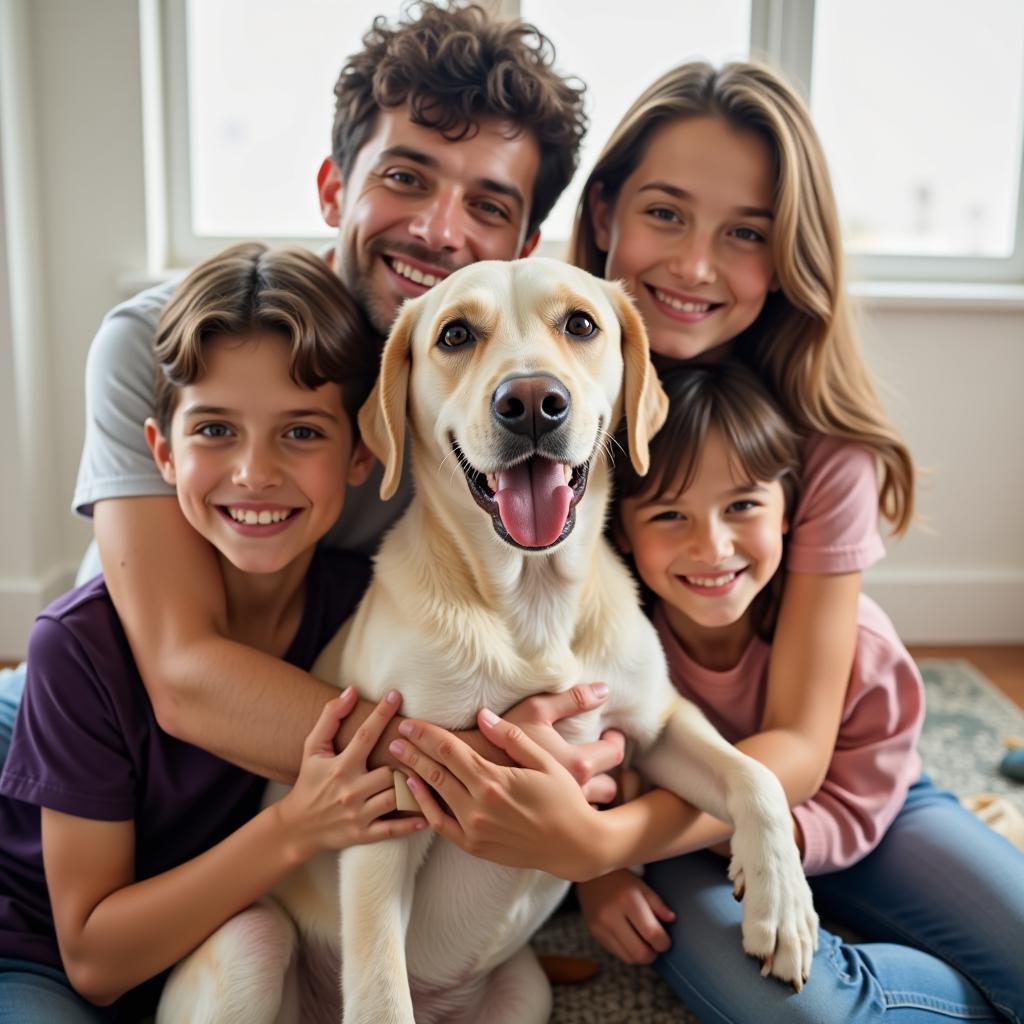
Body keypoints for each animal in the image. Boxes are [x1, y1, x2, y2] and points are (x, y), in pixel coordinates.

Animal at [157, 258, 815, 1024]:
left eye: (581, 324)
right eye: (455, 335)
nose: (531, 402)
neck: (532, 605)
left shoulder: (655, 722)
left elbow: (756, 775)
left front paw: (784, 906)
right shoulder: (385, 806)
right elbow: (380, 991)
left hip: (525, 991)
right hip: (252, 944)